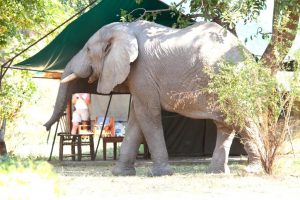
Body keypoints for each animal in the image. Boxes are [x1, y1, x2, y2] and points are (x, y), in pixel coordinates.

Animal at [44, 20, 262, 176]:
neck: (125, 29)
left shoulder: (142, 72)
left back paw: (252, 170)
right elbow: (135, 118)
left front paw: (159, 174)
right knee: (226, 122)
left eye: (88, 50)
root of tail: (246, 54)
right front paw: (120, 173)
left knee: (243, 118)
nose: (45, 128)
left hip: (233, 81)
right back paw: (216, 172)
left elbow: (147, 114)